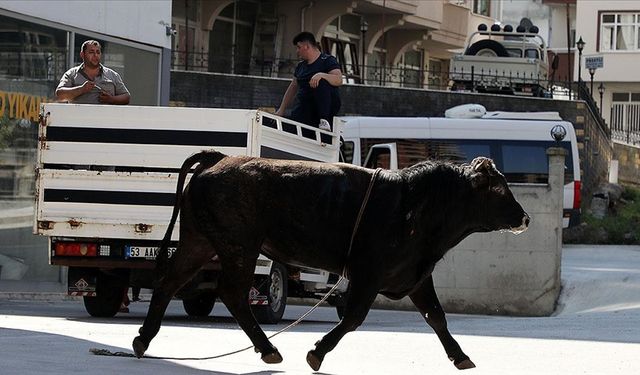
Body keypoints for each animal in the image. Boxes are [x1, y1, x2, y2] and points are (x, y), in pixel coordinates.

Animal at [131, 150, 528, 370]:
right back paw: (269, 349)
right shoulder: (369, 274)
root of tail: (218, 160)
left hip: (199, 242)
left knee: (169, 282)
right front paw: (317, 353)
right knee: (232, 293)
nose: (524, 218)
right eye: (499, 188)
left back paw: (142, 341)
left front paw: (461, 357)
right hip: (238, 246)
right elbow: (353, 317)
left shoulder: (415, 276)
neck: (417, 203)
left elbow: (437, 317)